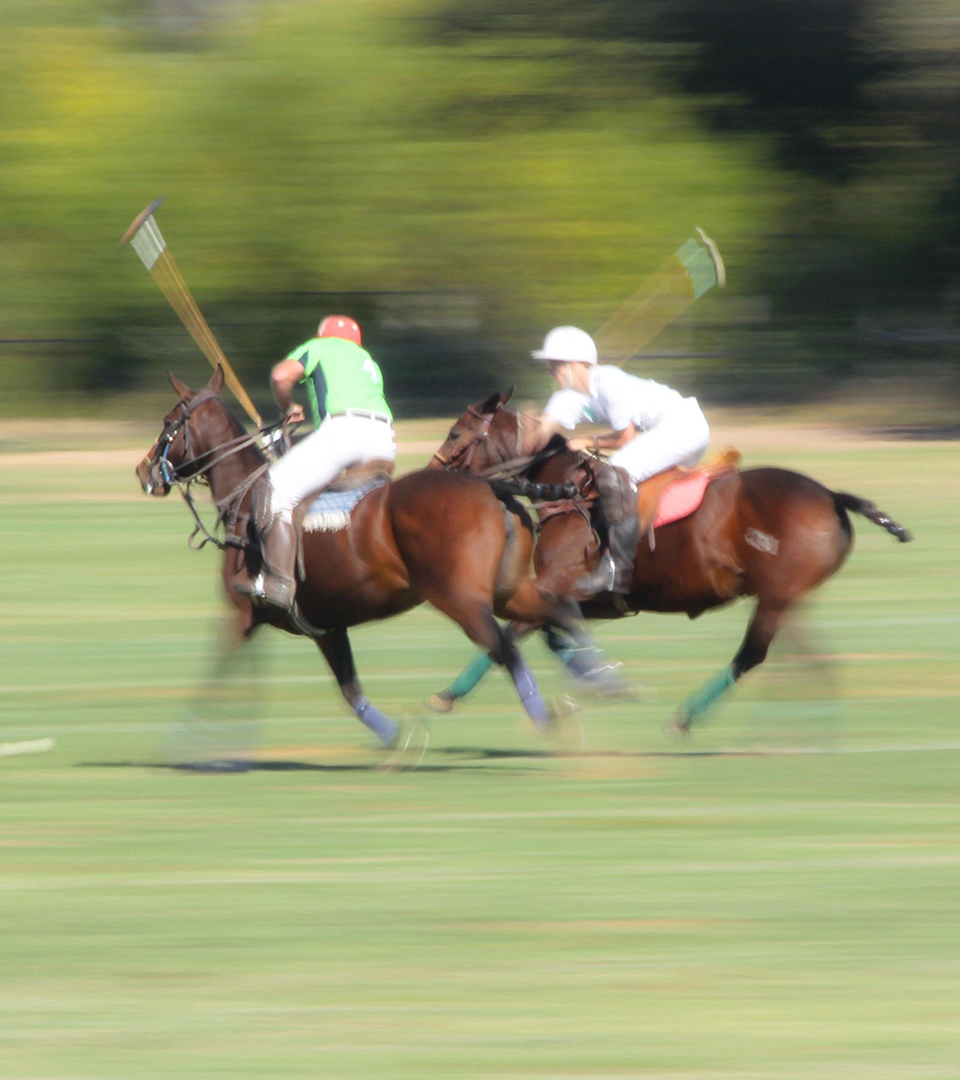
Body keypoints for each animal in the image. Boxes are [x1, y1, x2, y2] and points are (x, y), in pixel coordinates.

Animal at [133, 367, 583, 747]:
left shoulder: (241, 613)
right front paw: (399, 740)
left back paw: (548, 720)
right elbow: (350, 690)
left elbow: (214, 673)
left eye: (168, 422)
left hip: (461, 599)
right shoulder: (325, 626)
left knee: (506, 648)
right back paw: (593, 686)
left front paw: (185, 743)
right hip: (508, 590)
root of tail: (494, 486)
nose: (142, 471)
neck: (244, 504)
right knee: (556, 614)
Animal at [429, 388, 915, 734]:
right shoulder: (589, 601)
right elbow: (546, 636)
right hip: (787, 597)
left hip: (776, 596)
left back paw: (688, 719)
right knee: (813, 659)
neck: (568, 493)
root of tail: (831, 495)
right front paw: (593, 685)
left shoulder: (559, 587)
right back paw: (807, 731)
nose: (433, 474)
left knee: (753, 656)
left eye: (455, 433)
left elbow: (514, 637)